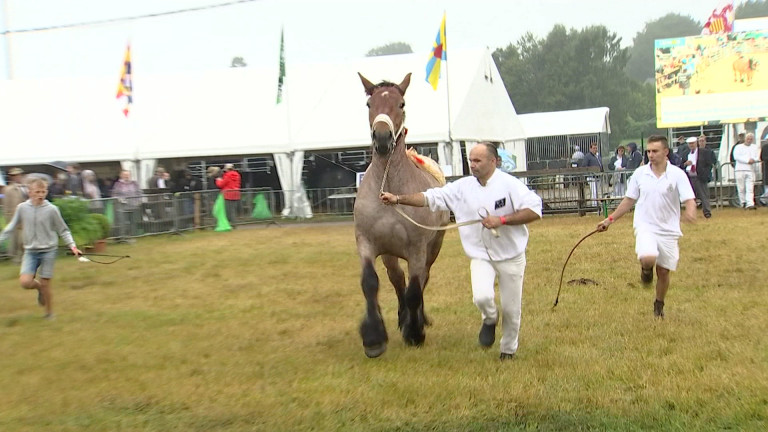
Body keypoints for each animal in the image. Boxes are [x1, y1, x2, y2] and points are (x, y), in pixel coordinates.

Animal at [354, 73, 450, 358]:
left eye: (402, 103)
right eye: (369, 104)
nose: (383, 138)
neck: (388, 187)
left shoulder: (417, 249)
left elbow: (415, 289)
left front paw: (415, 332)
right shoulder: (367, 243)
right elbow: (370, 283)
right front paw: (374, 338)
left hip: (432, 248)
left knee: (422, 280)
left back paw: (417, 318)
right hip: (390, 254)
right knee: (397, 280)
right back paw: (401, 316)